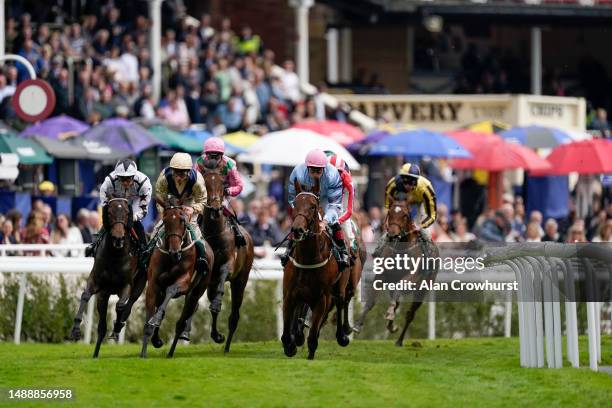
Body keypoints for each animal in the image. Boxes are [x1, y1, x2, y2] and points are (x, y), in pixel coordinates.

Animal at [67, 194, 147, 356]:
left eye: (127, 214)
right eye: (109, 213)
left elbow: (121, 305)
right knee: (102, 327)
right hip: (104, 295)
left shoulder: (126, 285)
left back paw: (118, 326)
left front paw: (117, 326)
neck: (115, 255)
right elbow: (85, 295)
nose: (118, 238)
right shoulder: (96, 282)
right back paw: (95, 354)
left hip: (140, 284)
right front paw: (75, 330)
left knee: (129, 304)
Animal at [140, 204, 214, 356]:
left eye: (183, 221)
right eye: (165, 220)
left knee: (182, 322)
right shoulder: (153, 286)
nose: (175, 253)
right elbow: (149, 320)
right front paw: (144, 353)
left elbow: (172, 289)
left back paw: (170, 352)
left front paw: (155, 319)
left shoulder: (184, 283)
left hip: (196, 292)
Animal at [196, 164, 253, 352]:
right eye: (205, 183)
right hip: (212, 284)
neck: (215, 233)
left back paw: (227, 346)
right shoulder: (209, 274)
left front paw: (217, 303)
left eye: (222, 184)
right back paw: (217, 336)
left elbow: (222, 280)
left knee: (234, 314)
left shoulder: (228, 265)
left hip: (240, 281)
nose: (215, 209)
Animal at [280, 180, 350, 358]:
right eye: (295, 204)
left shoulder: (321, 299)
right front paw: (290, 346)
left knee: (340, 303)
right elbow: (286, 334)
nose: (297, 230)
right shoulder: (289, 296)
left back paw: (342, 336)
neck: (307, 259)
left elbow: (312, 337)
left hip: (338, 288)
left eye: (312, 206)